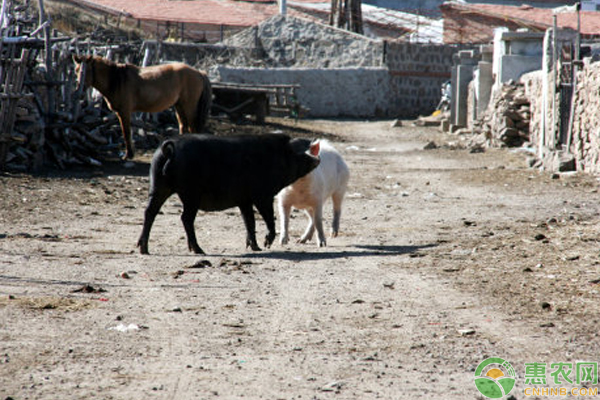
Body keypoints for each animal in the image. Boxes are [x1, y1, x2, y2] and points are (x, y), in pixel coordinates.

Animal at [73, 54, 213, 159]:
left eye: (86, 71)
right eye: (76, 70)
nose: (79, 91)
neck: (117, 79)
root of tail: (199, 72)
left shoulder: (124, 112)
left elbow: (126, 132)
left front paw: (128, 155)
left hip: (189, 107)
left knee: (192, 128)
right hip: (180, 106)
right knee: (183, 127)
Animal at [138, 134, 322, 253]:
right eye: (296, 149)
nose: (314, 139)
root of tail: (169, 150)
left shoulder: (244, 200)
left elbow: (249, 222)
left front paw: (255, 248)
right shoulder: (262, 195)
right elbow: (268, 218)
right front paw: (266, 245)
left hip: (158, 186)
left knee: (150, 212)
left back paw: (143, 249)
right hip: (191, 193)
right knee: (185, 218)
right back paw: (199, 250)